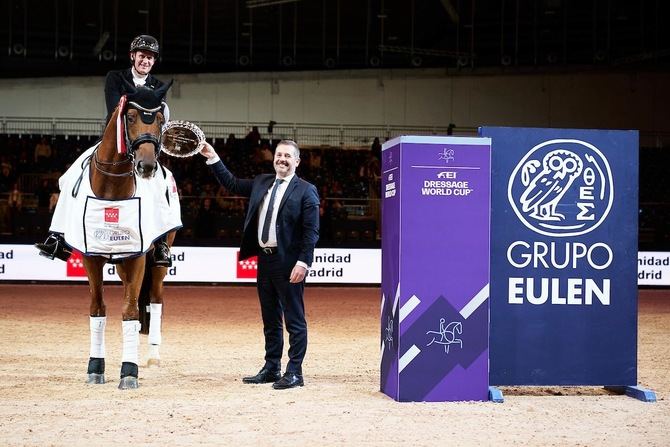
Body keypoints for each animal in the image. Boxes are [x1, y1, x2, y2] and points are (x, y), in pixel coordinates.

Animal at [85, 82, 175, 390]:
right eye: (131, 116)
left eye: (159, 119)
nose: (146, 166)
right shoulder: (92, 259)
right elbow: (98, 309)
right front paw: (95, 368)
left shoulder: (137, 258)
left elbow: (130, 310)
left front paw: (129, 371)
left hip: (156, 265)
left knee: (155, 301)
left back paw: (153, 357)